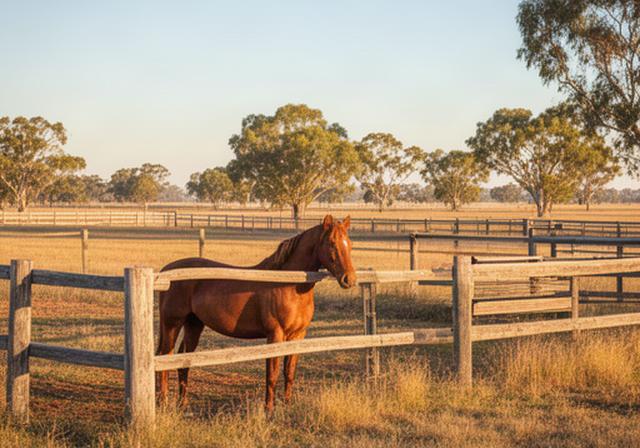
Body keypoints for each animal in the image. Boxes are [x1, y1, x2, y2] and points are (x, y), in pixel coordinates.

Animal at [156, 214, 357, 410]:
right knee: (165, 358)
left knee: (183, 361)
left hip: (194, 324)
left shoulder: (297, 336)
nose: (349, 279)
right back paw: (163, 403)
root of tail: (164, 273)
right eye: (331, 243)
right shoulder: (275, 336)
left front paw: (288, 406)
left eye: (349, 243)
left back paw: (182, 405)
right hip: (172, 324)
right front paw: (269, 410)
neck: (287, 283)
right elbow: (272, 375)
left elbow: (289, 373)